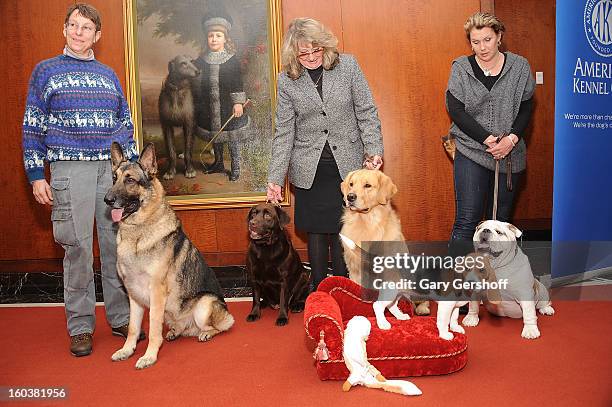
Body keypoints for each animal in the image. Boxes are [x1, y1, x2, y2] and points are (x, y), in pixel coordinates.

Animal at [105, 143, 234, 370]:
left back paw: (206, 333)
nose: (107, 200)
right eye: (114, 178)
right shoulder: (133, 295)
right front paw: (127, 350)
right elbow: (133, 328)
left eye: (130, 180)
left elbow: (153, 330)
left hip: (204, 306)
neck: (138, 232)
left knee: (220, 326)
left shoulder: (156, 292)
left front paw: (149, 356)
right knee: (181, 328)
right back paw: (176, 332)